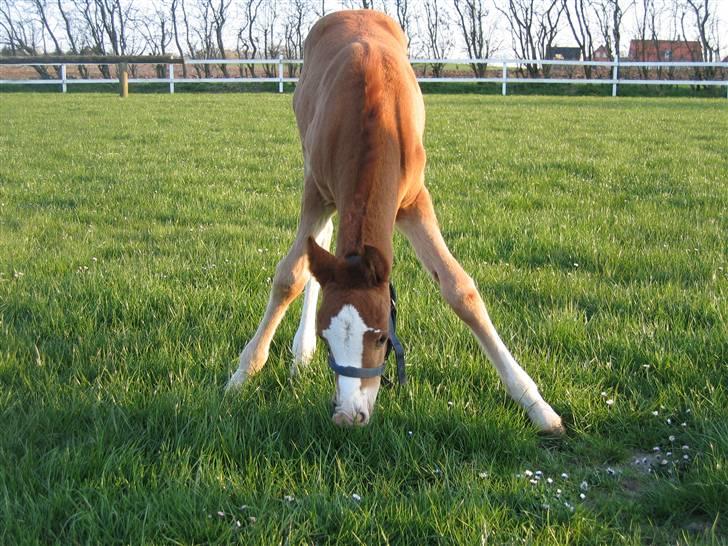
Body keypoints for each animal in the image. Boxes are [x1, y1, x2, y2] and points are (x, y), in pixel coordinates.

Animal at [225, 9, 564, 434]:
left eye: (382, 337)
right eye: (327, 337)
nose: (348, 415)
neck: (371, 109)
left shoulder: (414, 200)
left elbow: (460, 289)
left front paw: (537, 405)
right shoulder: (316, 191)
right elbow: (290, 276)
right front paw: (242, 375)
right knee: (316, 248)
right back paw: (298, 352)